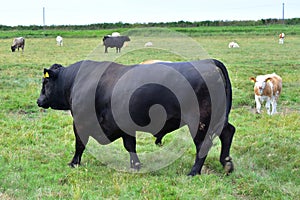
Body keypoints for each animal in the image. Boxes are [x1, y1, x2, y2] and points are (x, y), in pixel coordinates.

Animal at [36, 58, 236, 176]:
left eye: (45, 82)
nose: (39, 100)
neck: (76, 81)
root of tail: (208, 62)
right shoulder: (124, 126)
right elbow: (130, 146)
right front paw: (136, 165)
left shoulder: (80, 122)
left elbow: (79, 144)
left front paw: (73, 163)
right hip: (216, 119)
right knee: (228, 132)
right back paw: (226, 163)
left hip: (200, 121)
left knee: (203, 144)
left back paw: (194, 171)